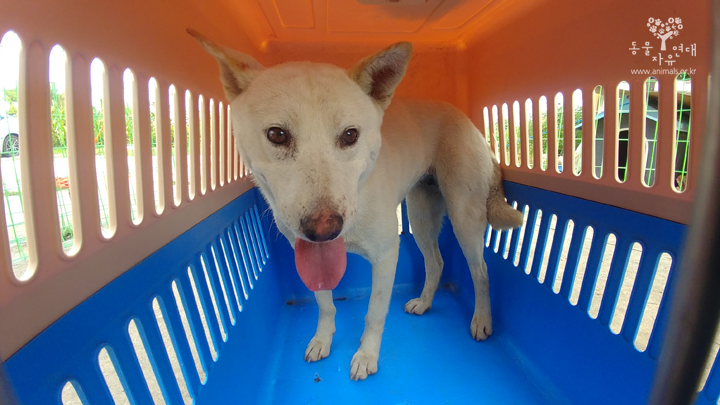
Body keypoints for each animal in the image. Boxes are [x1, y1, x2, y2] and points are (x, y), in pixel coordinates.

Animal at [188, 30, 520, 380]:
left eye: (350, 135)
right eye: (276, 134)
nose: (323, 230)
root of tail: (470, 124)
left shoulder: (387, 256)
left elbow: (374, 314)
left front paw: (366, 356)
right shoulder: (309, 259)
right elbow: (325, 304)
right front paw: (322, 340)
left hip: (464, 218)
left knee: (481, 271)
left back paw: (482, 320)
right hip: (420, 217)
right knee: (437, 263)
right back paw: (424, 303)